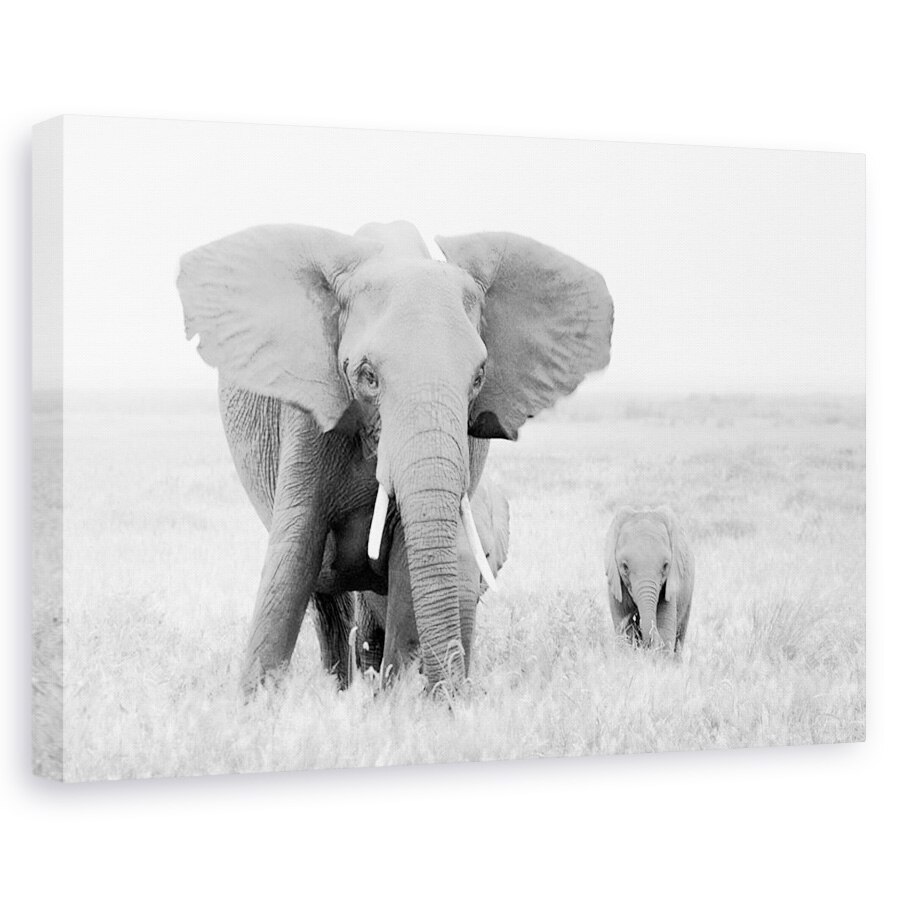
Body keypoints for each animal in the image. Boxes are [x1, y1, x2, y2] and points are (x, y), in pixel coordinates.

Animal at [604, 507, 695, 653]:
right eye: (625, 567)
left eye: (665, 566)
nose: (637, 618)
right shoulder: (616, 586)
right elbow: (624, 632)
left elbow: (666, 630)